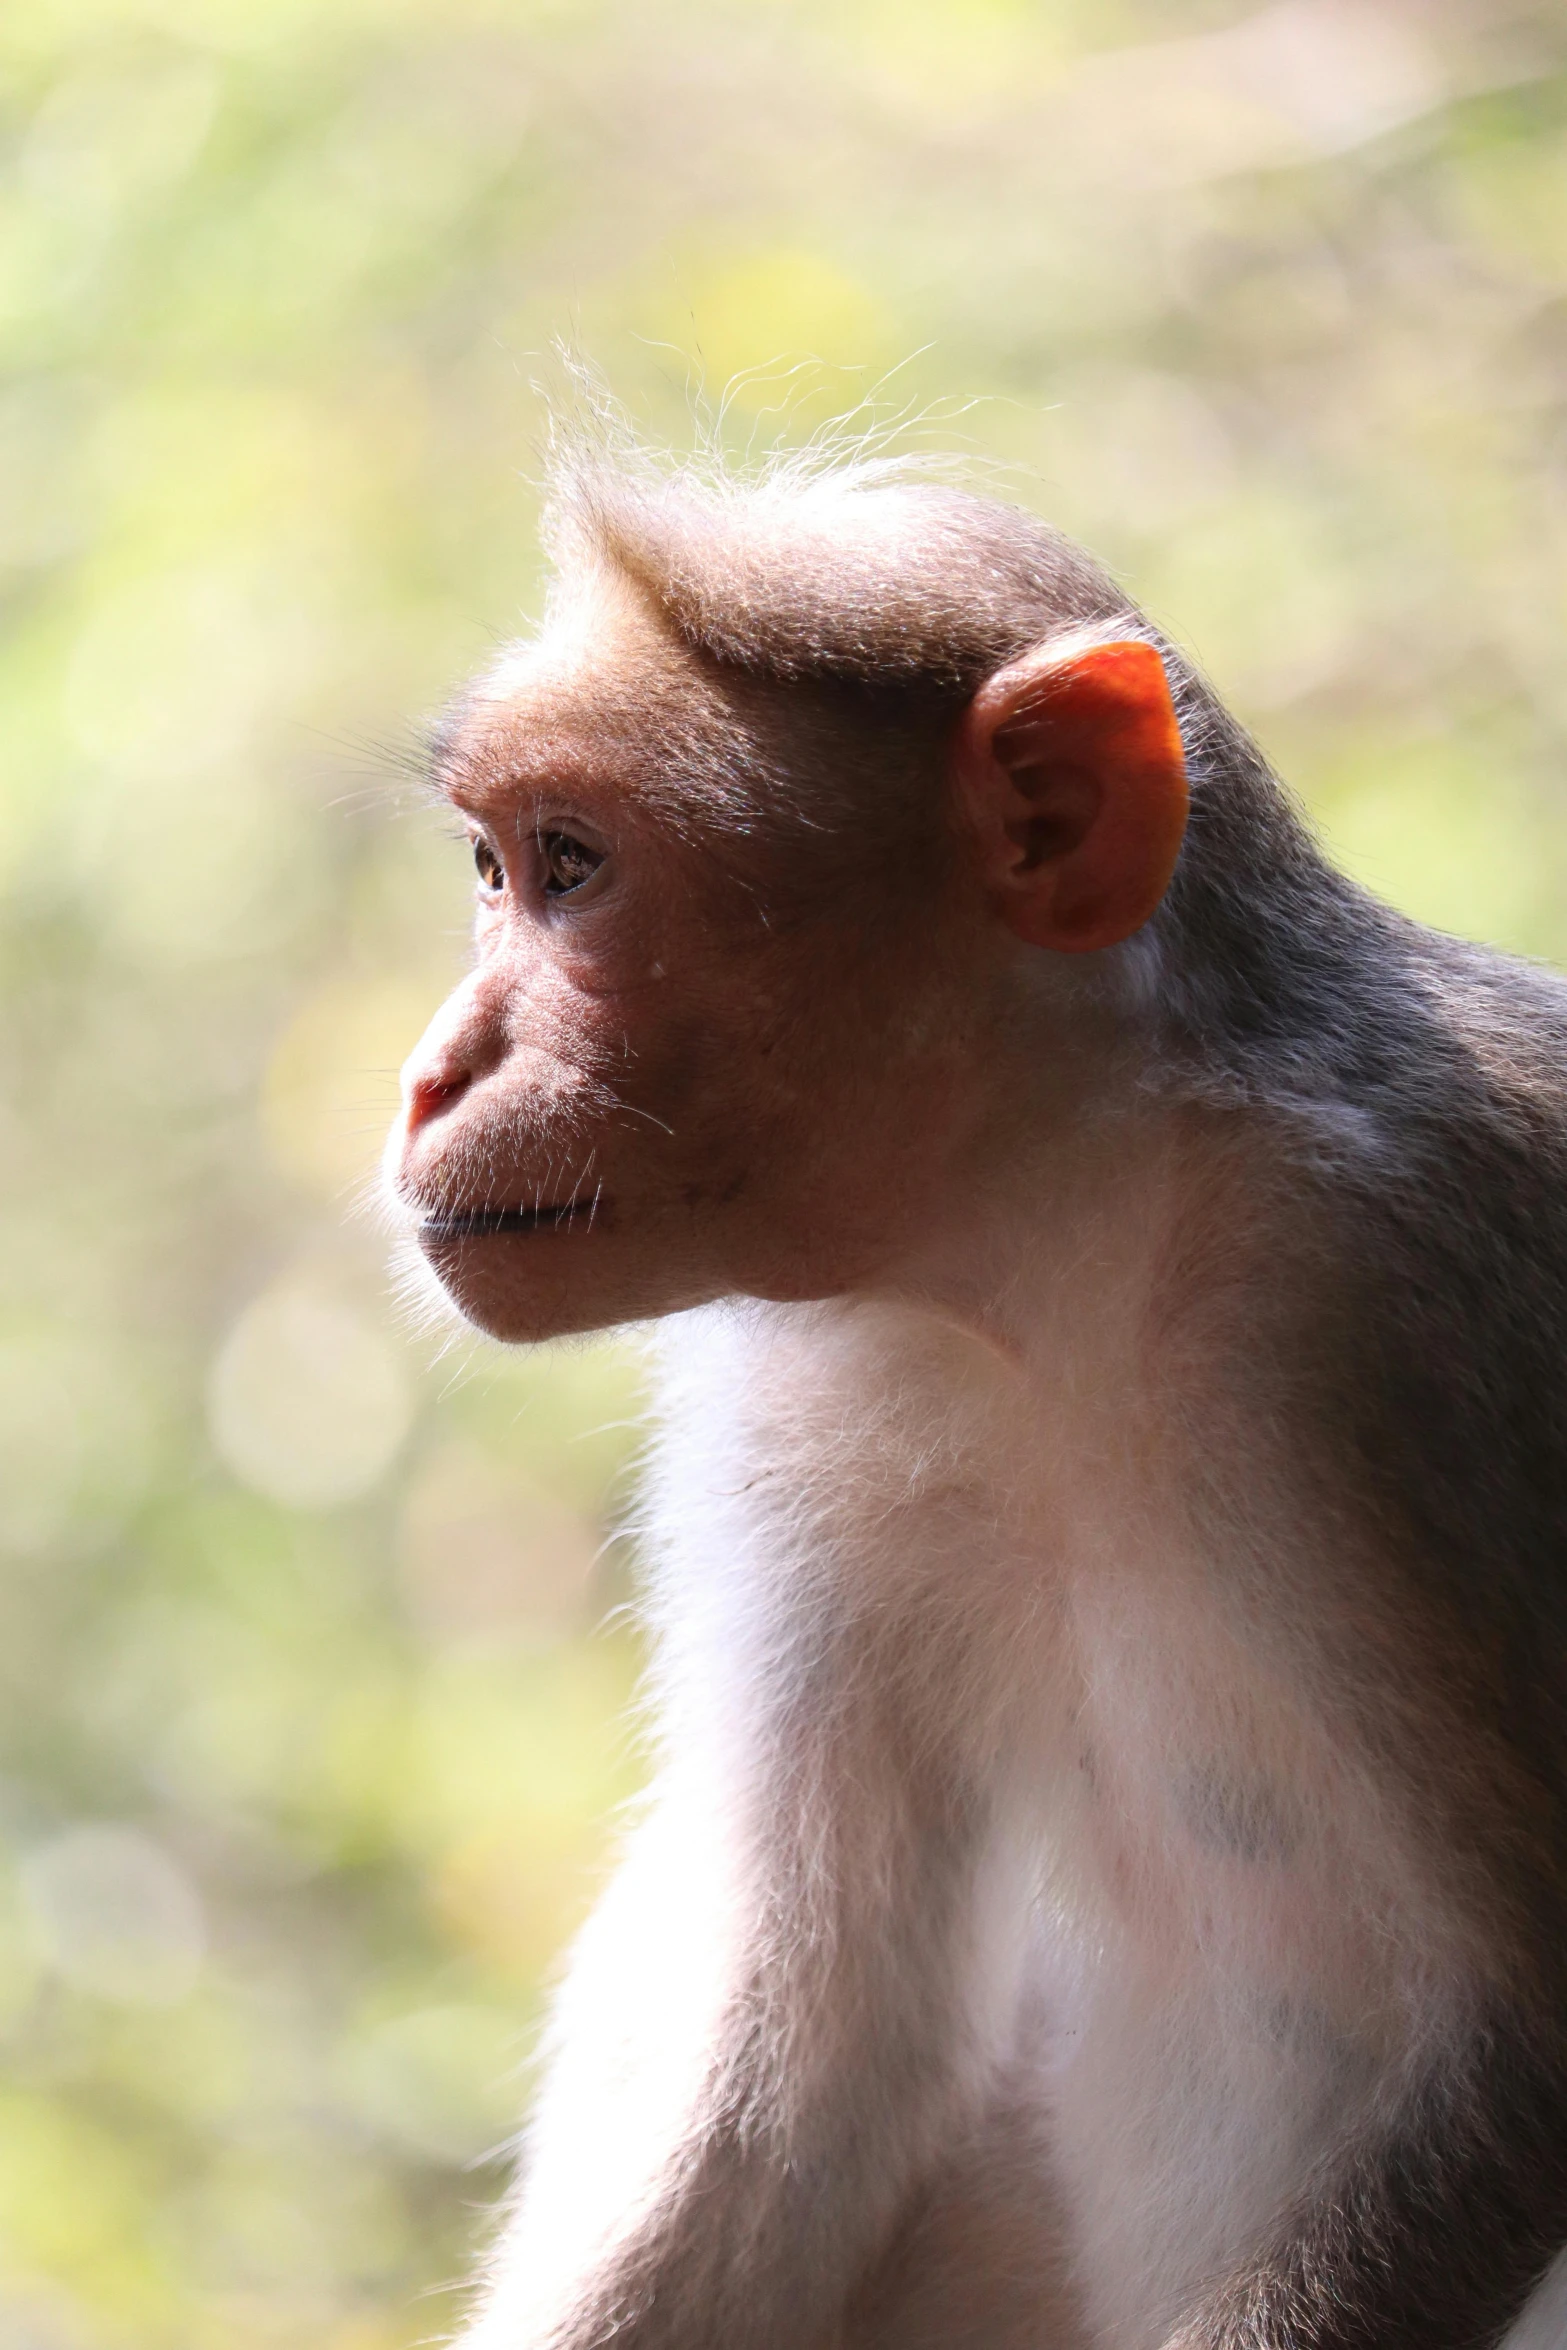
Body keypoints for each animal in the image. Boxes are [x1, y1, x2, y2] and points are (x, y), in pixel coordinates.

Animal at [385, 444, 1567, 2350]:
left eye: (571, 867)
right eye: (491, 866)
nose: (431, 1074)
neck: (1043, 1246)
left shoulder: (1384, 1299)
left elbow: (1523, 2030)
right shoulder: (792, 1404)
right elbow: (803, 2057)